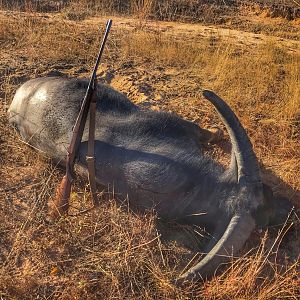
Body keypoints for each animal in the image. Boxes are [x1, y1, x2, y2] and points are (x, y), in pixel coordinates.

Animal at [8, 76, 292, 282]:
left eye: (269, 193)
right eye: (261, 224)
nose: (291, 213)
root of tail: (18, 98)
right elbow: (203, 130)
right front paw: (217, 132)